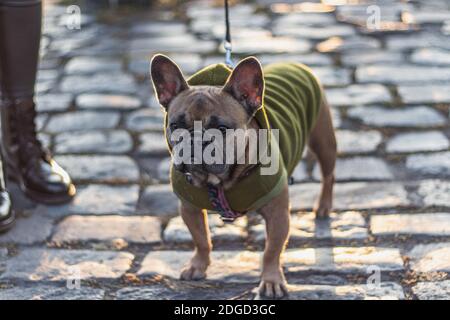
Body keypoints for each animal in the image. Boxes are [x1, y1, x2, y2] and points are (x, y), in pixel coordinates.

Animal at [151, 54, 338, 298]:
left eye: (222, 128)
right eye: (175, 126)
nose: (197, 140)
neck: (220, 181)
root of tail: (294, 63)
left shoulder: (278, 214)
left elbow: (271, 250)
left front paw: (271, 280)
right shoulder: (189, 208)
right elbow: (201, 239)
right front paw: (197, 266)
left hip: (323, 141)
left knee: (328, 175)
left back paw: (323, 206)